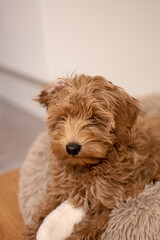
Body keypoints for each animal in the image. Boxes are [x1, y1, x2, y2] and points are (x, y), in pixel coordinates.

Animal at [25, 75, 160, 240]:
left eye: (94, 119)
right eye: (62, 118)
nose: (72, 148)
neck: (86, 166)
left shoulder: (110, 198)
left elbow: (87, 229)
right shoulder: (59, 187)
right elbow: (44, 210)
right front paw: (33, 231)